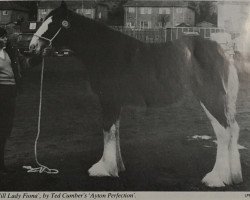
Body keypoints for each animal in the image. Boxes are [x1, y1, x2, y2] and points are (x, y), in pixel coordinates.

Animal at [28, 1, 242, 188]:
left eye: (53, 24)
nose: (31, 48)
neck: (107, 52)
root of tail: (221, 51)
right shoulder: (116, 102)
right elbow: (115, 130)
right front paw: (117, 166)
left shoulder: (109, 100)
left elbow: (107, 130)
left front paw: (103, 169)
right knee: (233, 129)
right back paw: (233, 176)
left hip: (210, 99)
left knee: (223, 132)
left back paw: (216, 178)